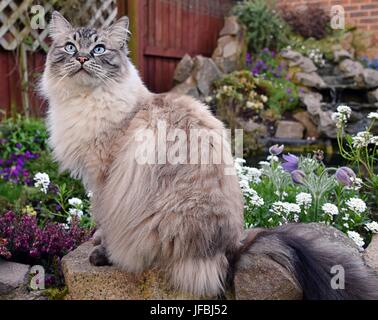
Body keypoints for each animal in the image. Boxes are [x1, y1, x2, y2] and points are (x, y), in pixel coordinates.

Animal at [41, 11, 378, 298]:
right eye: (70, 47)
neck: (86, 100)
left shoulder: (104, 178)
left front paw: (101, 247)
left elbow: (103, 219)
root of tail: (231, 249)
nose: (82, 58)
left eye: (99, 49)